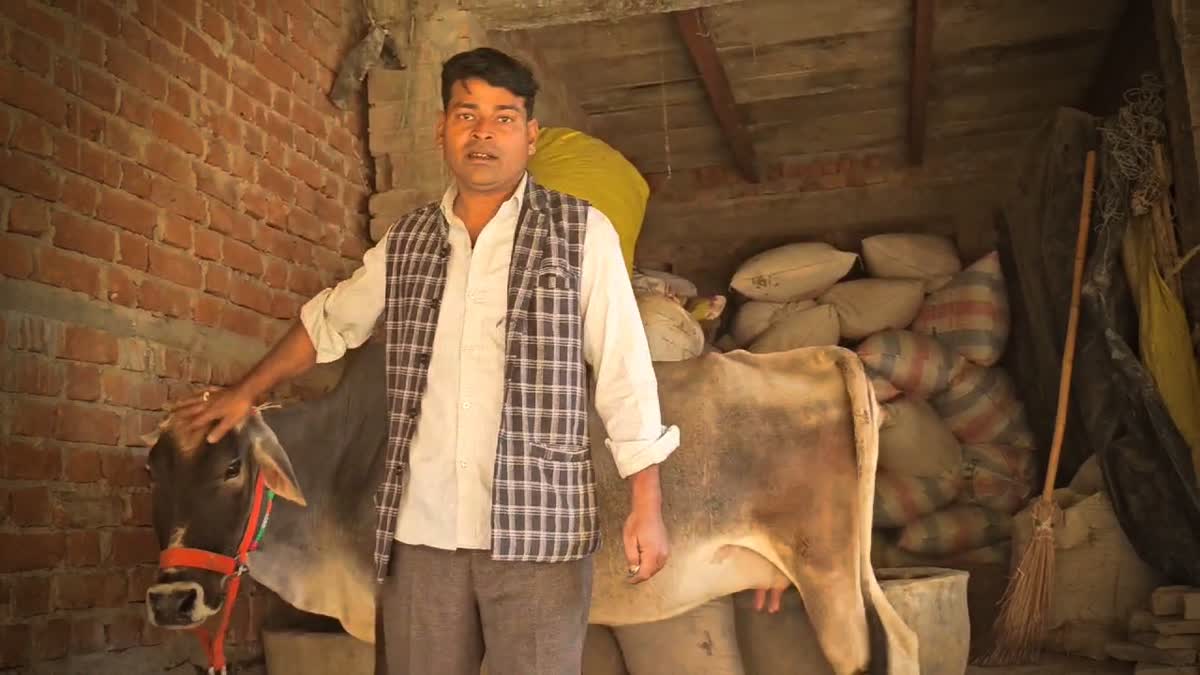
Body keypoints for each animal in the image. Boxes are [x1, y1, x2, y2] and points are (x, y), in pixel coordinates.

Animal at [145, 341, 921, 672]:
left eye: (232, 466)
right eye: (150, 472)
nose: (171, 599)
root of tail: (821, 353)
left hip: (826, 574)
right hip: (844, 573)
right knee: (903, 640)